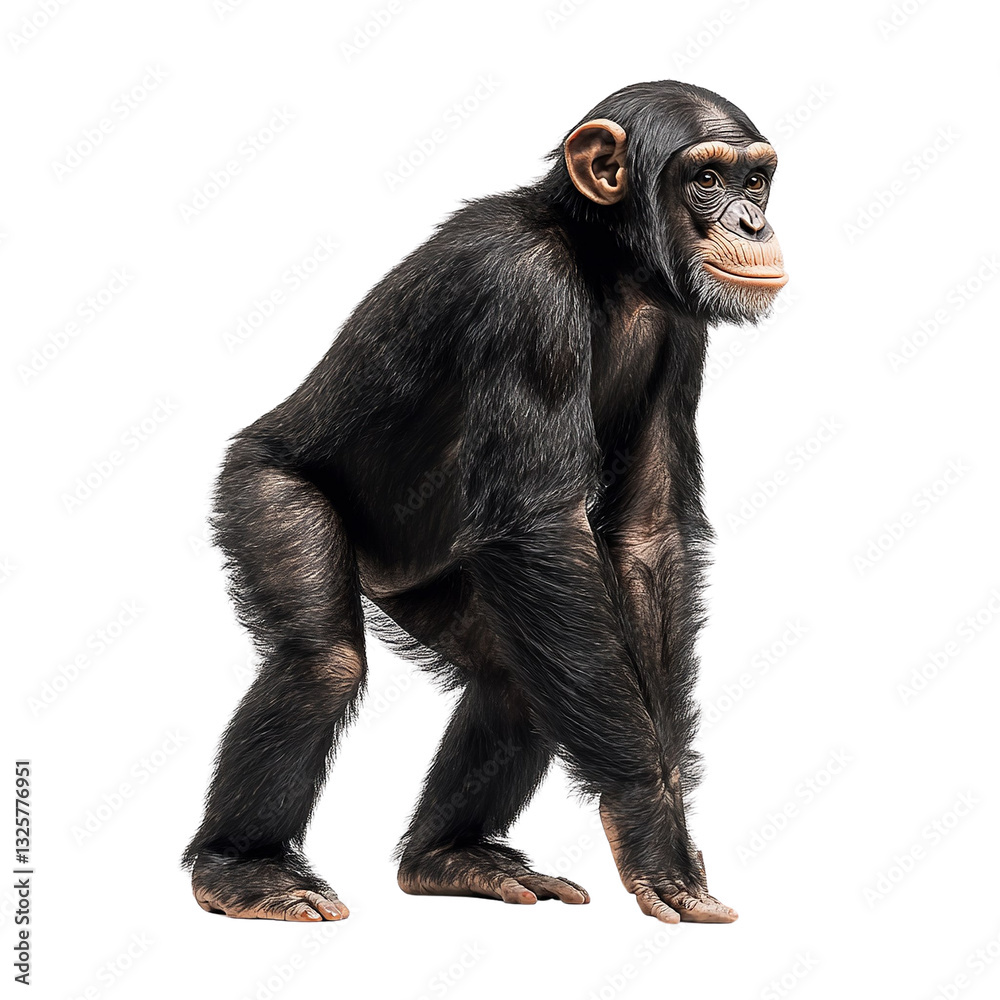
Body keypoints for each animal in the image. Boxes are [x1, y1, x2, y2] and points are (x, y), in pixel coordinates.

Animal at [182, 79, 787, 925]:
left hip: (432, 584)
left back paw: (449, 856)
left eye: (755, 180)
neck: (604, 262)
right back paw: (243, 869)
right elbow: (539, 526)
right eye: (706, 179)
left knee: (514, 679)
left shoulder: (683, 330)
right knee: (320, 663)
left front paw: (665, 808)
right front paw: (649, 821)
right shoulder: (522, 292)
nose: (752, 221)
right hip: (263, 487)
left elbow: (648, 531)